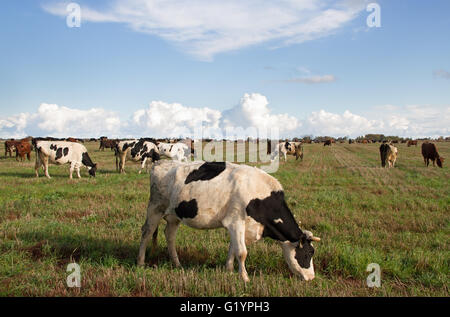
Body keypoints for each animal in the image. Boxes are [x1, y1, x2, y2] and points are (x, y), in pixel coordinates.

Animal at [137, 160, 320, 282]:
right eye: (308, 253)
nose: (311, 277)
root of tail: (161, 163)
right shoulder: (235, 221)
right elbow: (242, 252)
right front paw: (244, 278)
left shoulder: (239, 226)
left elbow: (233, 248)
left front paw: (229, 269)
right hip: (155, 207)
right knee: (146, 232)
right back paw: (140, 262)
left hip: (174, 216)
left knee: (169, 235)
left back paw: (177, 264)